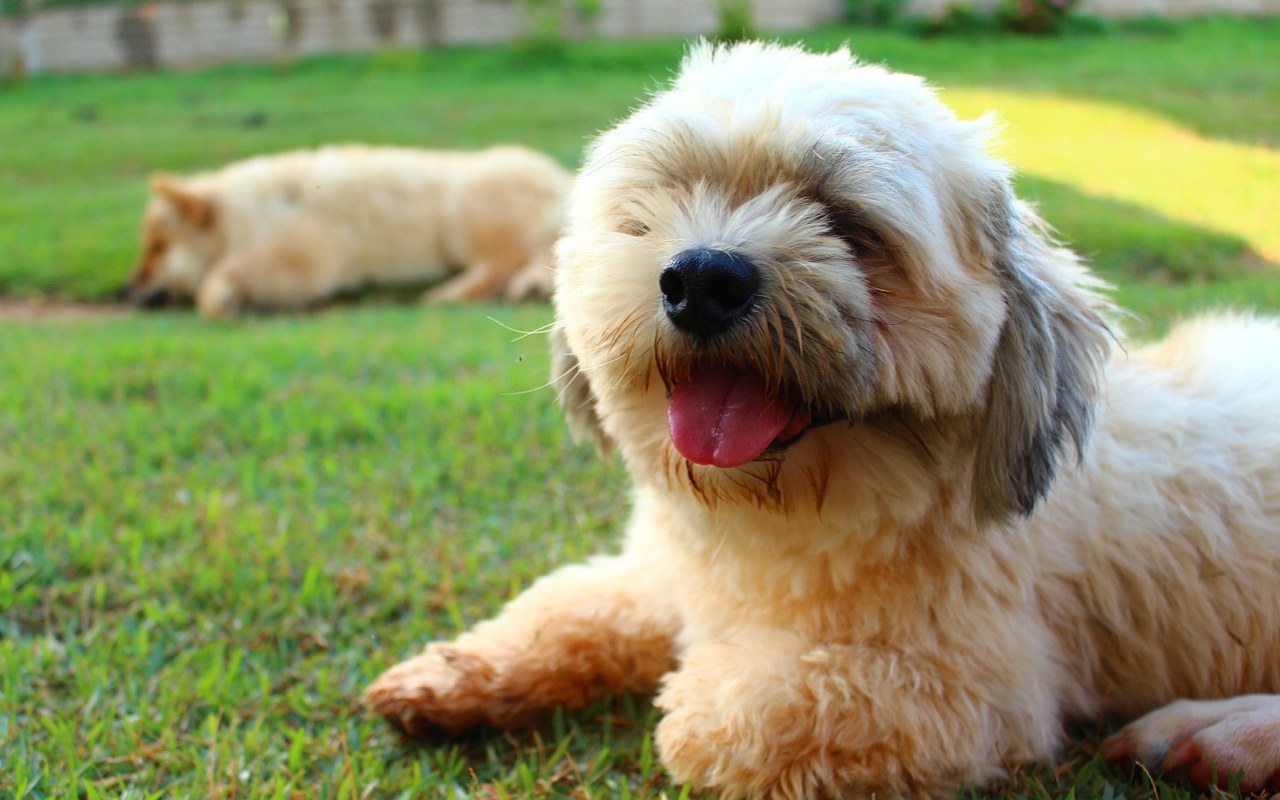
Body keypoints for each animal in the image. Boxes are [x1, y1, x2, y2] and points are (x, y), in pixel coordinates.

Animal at [123, 143, 570, 314]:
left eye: (158, 247)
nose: (125, 289)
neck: (254, 211)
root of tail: (560, 177)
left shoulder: (308, 250)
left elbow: (229, 268)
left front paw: (218, 295)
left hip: (464, 214)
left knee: (503, 261)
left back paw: (447, 294)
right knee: (542, 257)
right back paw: (531, 286)